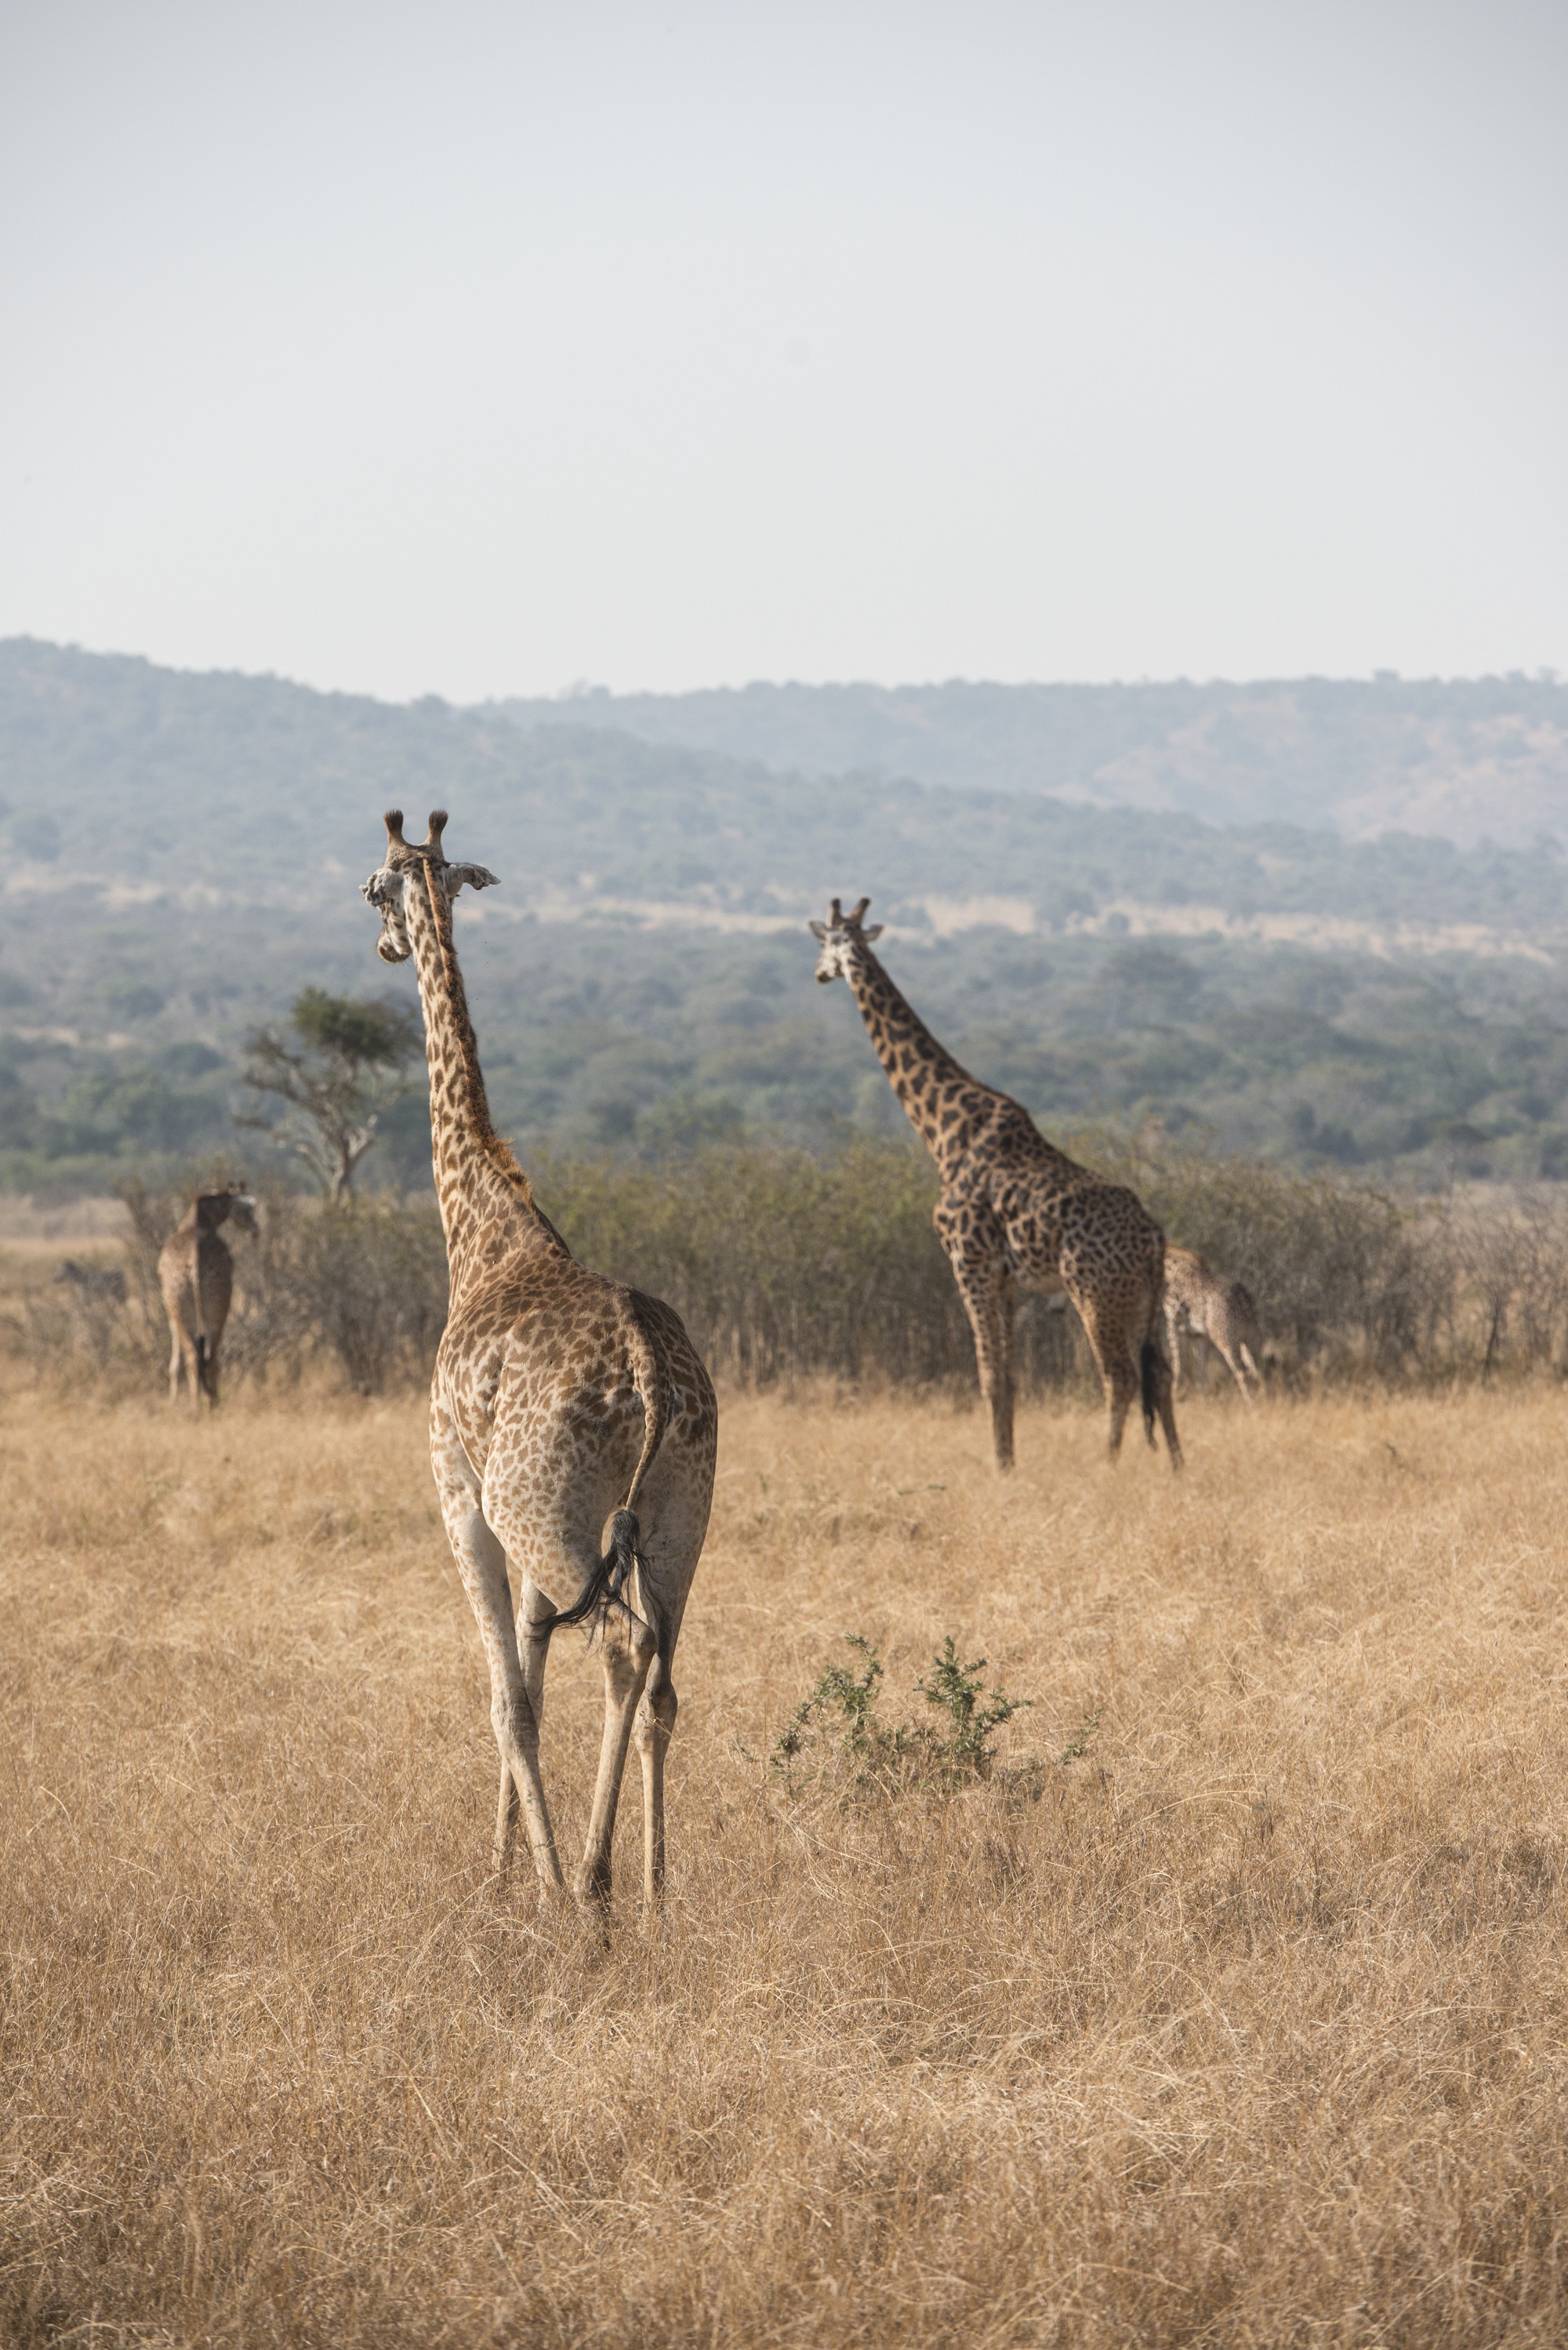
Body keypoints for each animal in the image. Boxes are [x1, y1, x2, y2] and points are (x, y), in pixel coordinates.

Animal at [157, 1184, 257, 1400]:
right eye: (245, 1209)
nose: (255, 1231)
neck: (200, 1219)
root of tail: (195, 1262)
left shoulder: (170, 1312)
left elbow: (175, 1363)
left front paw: (173, 1401)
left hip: (189, 1310)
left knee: (197, 1358)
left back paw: (200, 1405)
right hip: (213, 1310)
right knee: (209, 1359)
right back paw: (210, 1402)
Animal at [361, 808, 719, 1908]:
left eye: (374, 888)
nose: (384, 943)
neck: (483, 1228)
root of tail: (648, 1374)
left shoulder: (460, 1495)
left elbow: (506, 1700)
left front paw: (524, 1887)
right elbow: (529, 1676)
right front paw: (509, 1866)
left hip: (548, 1510)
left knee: (621, 1646)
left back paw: (594, 1890)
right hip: (679, 1514)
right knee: (663, 1676)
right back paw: (652, 1893)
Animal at [818, 897, 1185, 1466]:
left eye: (828, 942)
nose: (819, 973)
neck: (943, 1129)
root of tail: (1152, 1237)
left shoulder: (969, 1262)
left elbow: (989, 1374)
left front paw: (1000, 1466)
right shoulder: (1008, 1279)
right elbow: (1010, 1376)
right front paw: (1009, 1460)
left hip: (1096, 1294)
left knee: (1120, 1377)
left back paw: (1109, 1464)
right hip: (1145, 1301)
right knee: (1161, 1375)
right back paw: (1175, 1466)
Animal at [1161, 1250, 1269, 1391]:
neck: (1174, 1269)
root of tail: (1244, 1299)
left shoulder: (1172, 1320)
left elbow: (1177, 1364)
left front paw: (1175, 1392)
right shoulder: (1198, 1334)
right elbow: (1201, 1373)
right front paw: (1201, 1396)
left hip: (1224, 1337)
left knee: (1242, 1372)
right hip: (1251, 1336)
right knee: (1258, 1368)